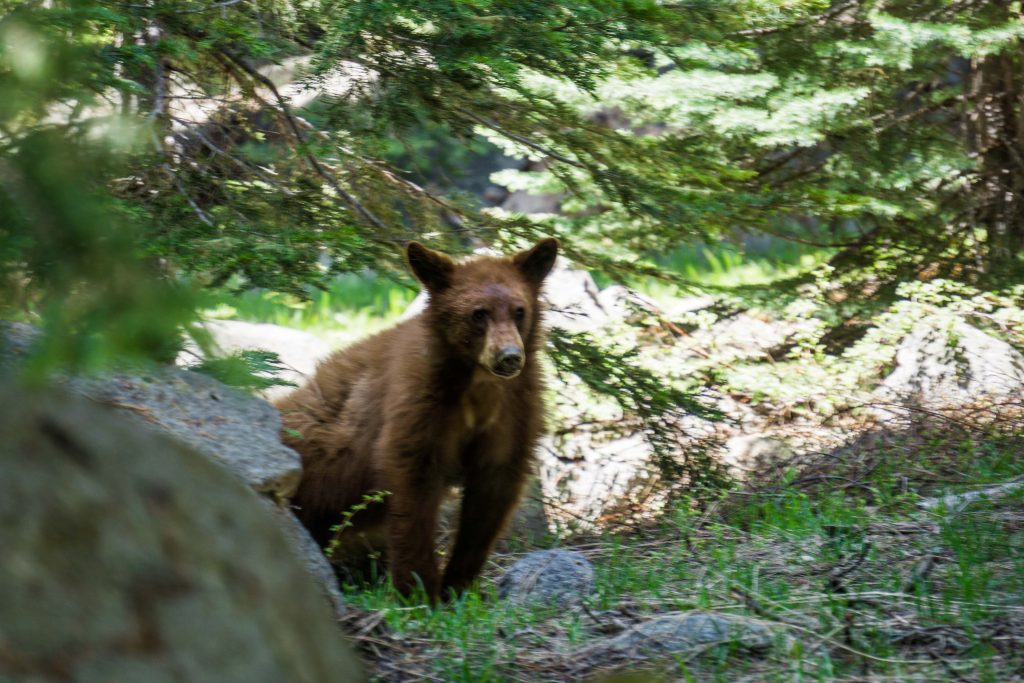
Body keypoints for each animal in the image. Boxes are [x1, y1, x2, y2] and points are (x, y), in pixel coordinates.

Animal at [274, 237, 561, 602]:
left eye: (519, 310)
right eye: (478, 313)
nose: (509, 357)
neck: (477, 384)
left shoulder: (513, 410)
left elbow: (492, 492)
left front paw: (458, 585)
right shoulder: (419, 401)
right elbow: (414, 485)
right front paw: (420, 589)